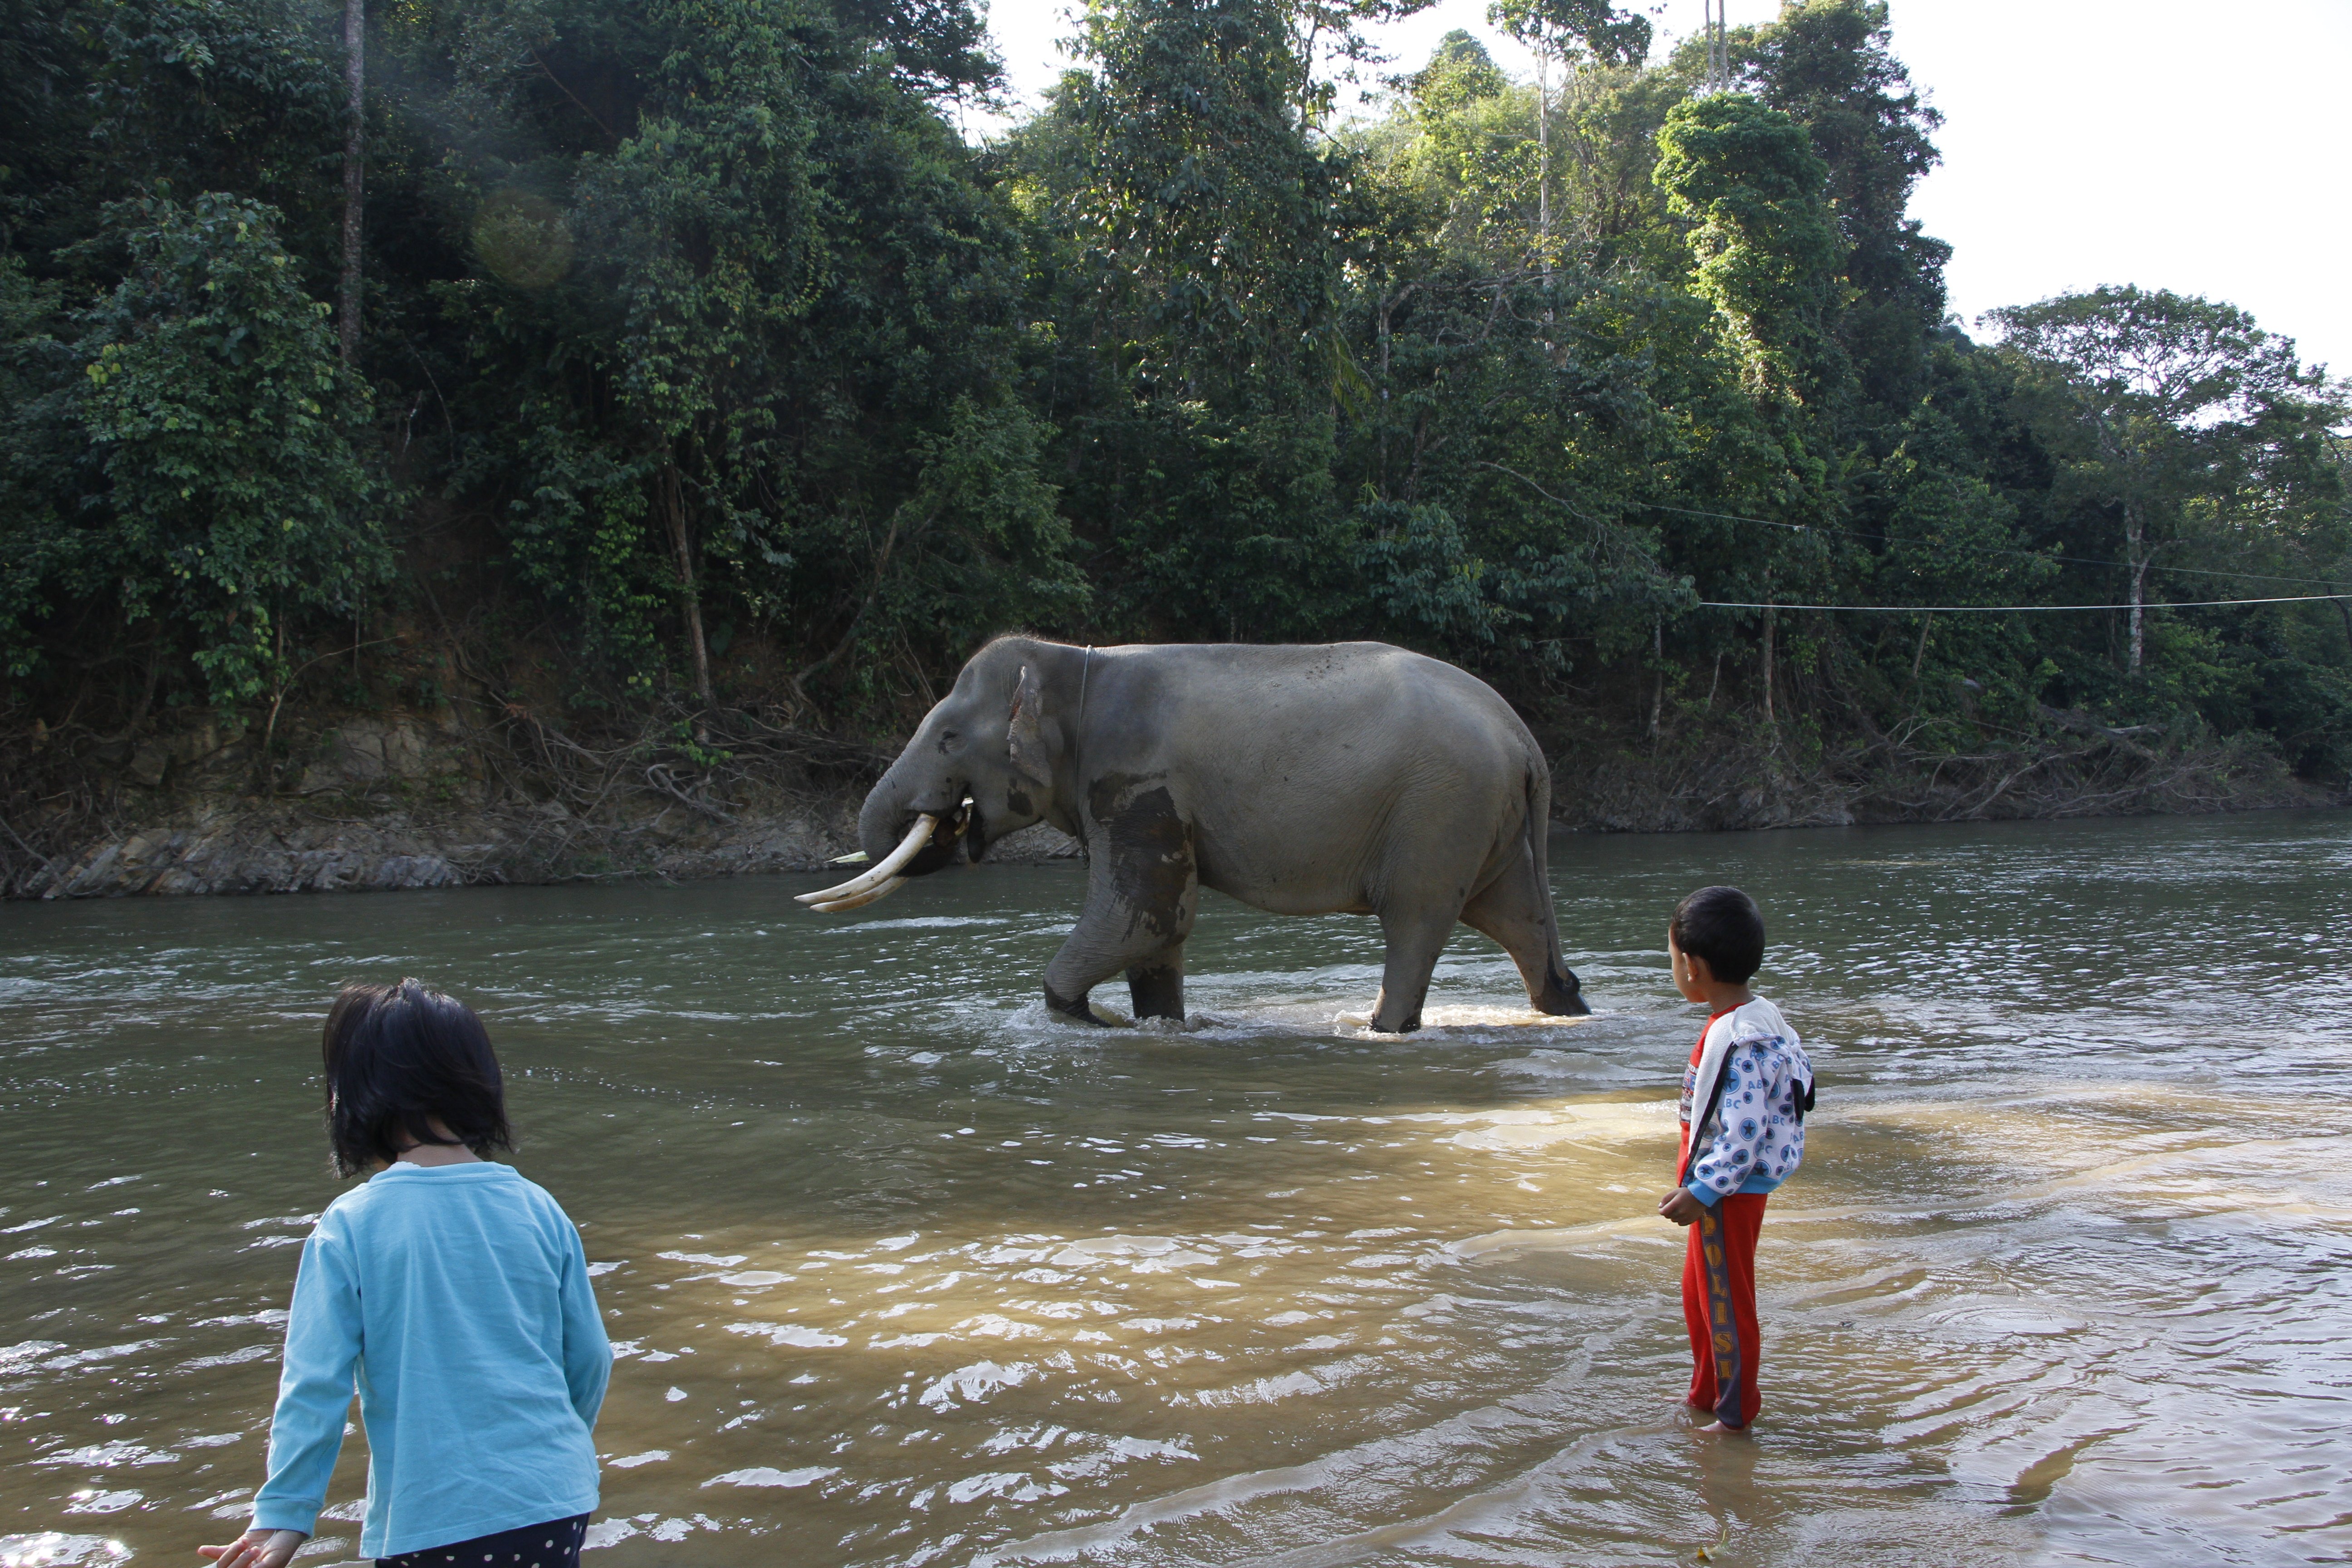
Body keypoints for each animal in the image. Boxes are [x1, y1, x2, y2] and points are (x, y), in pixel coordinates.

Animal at [799, 630, 1590, 1034]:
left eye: (950, 737)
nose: (942, 820)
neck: (1076, 661)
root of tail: (1522, 735)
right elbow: (1157, 931)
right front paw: (1158, 1023)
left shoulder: (1136, 781)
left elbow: (1144, 913)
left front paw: (1083, 1019)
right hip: (1488, 823)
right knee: (1520, 925)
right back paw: (1568, 1007)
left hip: (1439, 812)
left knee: (1416, 923)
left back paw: (1382, 1028)